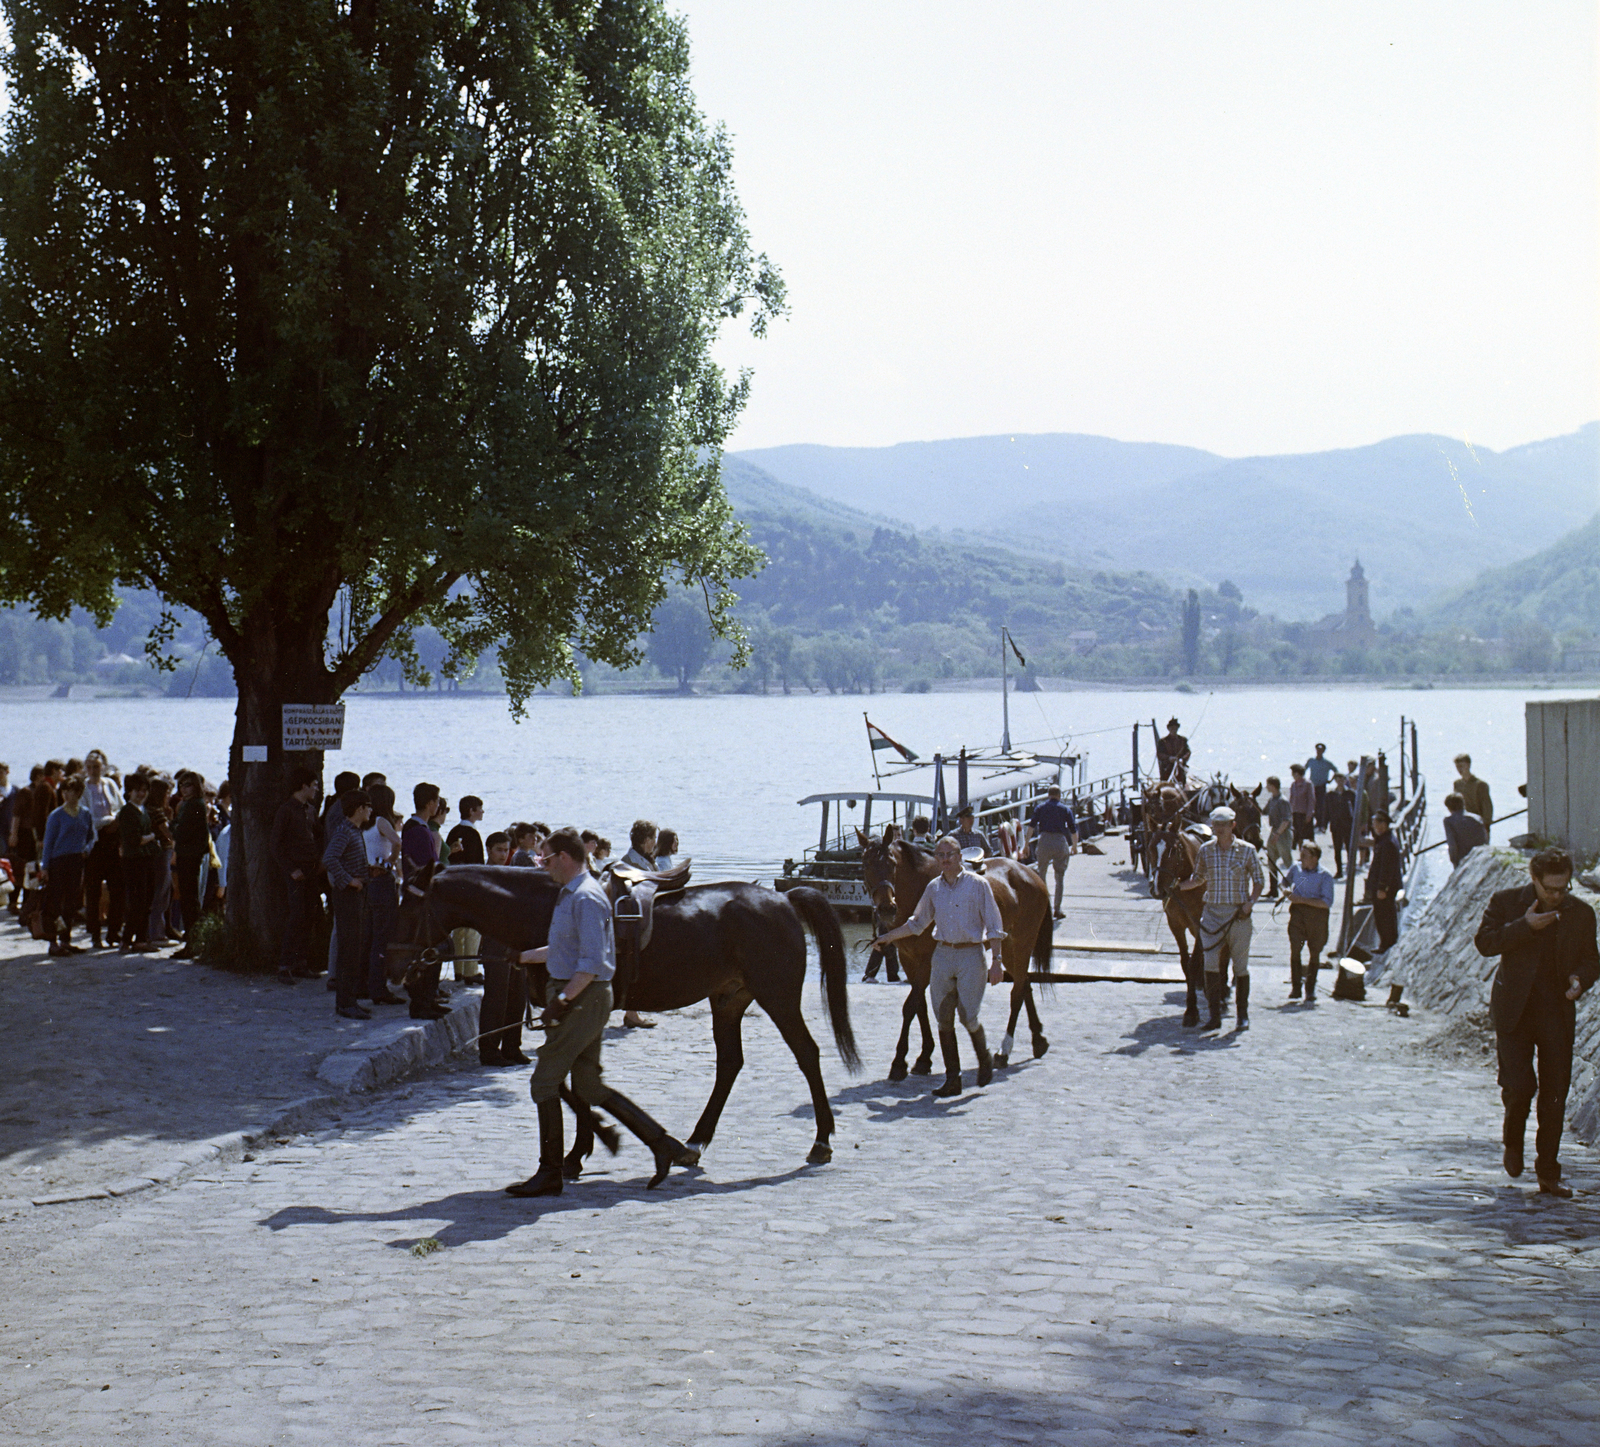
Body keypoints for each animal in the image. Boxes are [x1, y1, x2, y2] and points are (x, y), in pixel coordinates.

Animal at [392, 864, 857, 1171]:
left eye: (411, 911)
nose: (393, 968)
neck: (547, 910)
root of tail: (784, 898)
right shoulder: (567, 1015)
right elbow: (571, 1081)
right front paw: (585, 1146)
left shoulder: (574, 1010)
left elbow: (572, 1082)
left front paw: (586, 1146)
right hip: (727, 1001)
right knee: (730, 1064)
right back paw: (696, 1140)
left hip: (777, 997)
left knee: (807, 1054)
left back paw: (821, 1140)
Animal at [857, 832, 1056, 1082]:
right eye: (866, 864)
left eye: (892, 863)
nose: (886, 908)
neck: (918, 891)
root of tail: (1031, 874)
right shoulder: (909, 961)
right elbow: (920, 1006)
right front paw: (924, 1058)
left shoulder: (927, 964)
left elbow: (910, 1007)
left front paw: (899, 1062)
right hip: (1009, 950)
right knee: (1025, 985)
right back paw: (1038, 1041)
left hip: (1020, 945)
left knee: (1017, 992)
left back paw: (1004, 1051)